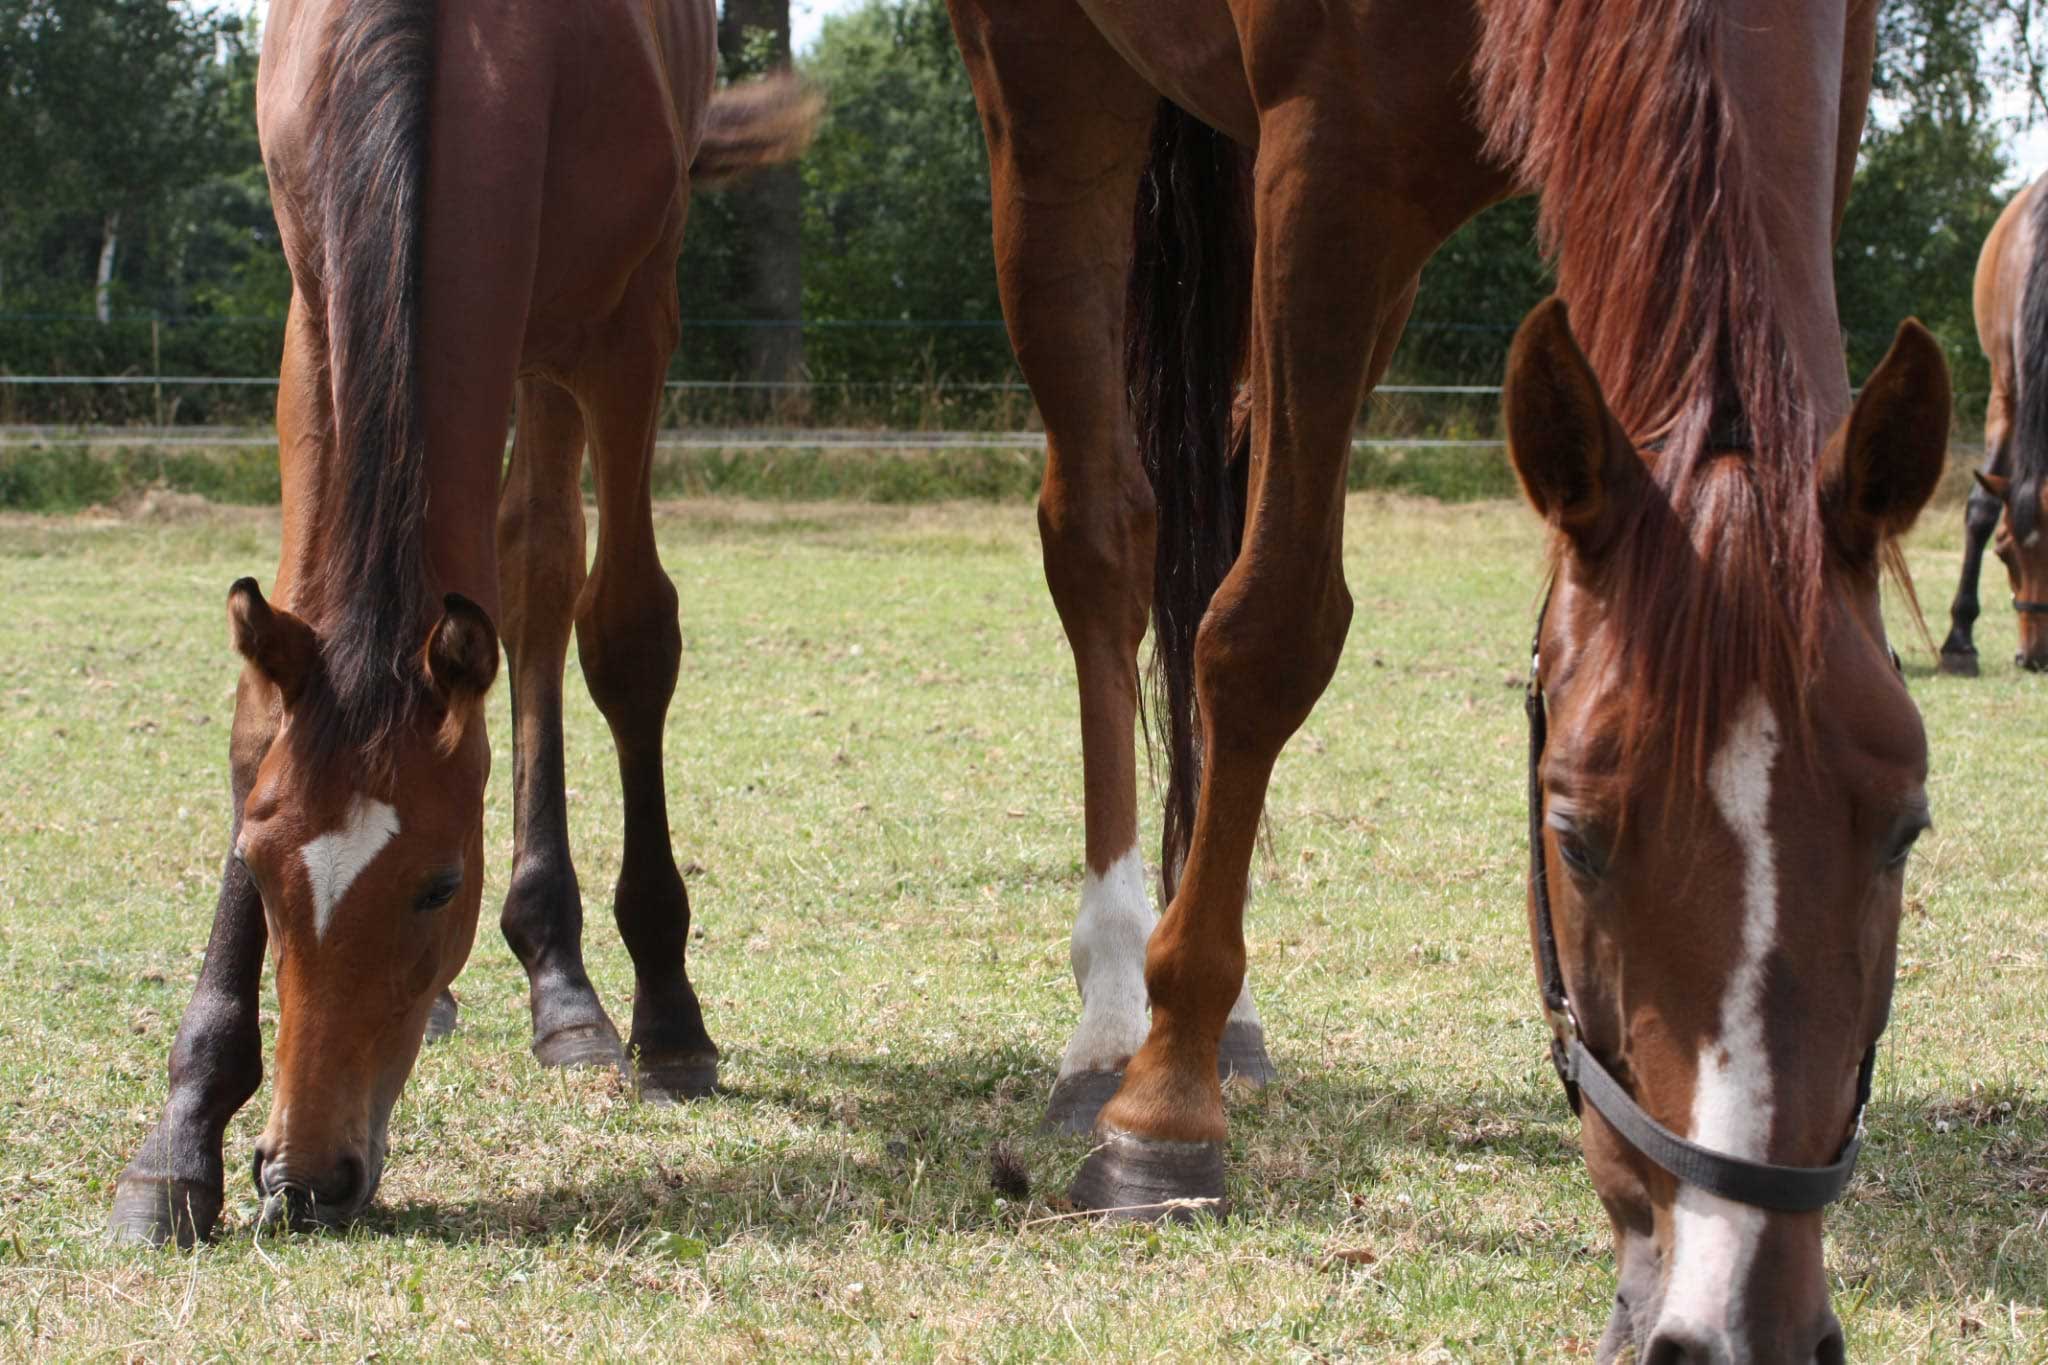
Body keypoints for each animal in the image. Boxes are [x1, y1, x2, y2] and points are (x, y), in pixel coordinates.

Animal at [103, 0, 806, 1252]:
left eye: (437, 883)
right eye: (261, 866)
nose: (304, 1176)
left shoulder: (627, 324)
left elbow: (627, 634)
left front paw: (667, 1013)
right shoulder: (312, 319)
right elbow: (259, 708)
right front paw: (179, 1140)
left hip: (559, 335)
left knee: (541, 579)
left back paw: (574, 990)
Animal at [950, 0, 1941, 1358]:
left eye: (1905, 827)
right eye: (1572, 837)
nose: (1737, 1322)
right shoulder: (1330, 159)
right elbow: (1267, 632)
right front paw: (1162, 1120)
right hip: (1054, 96)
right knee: (1105, 540)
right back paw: (1115, 1002)